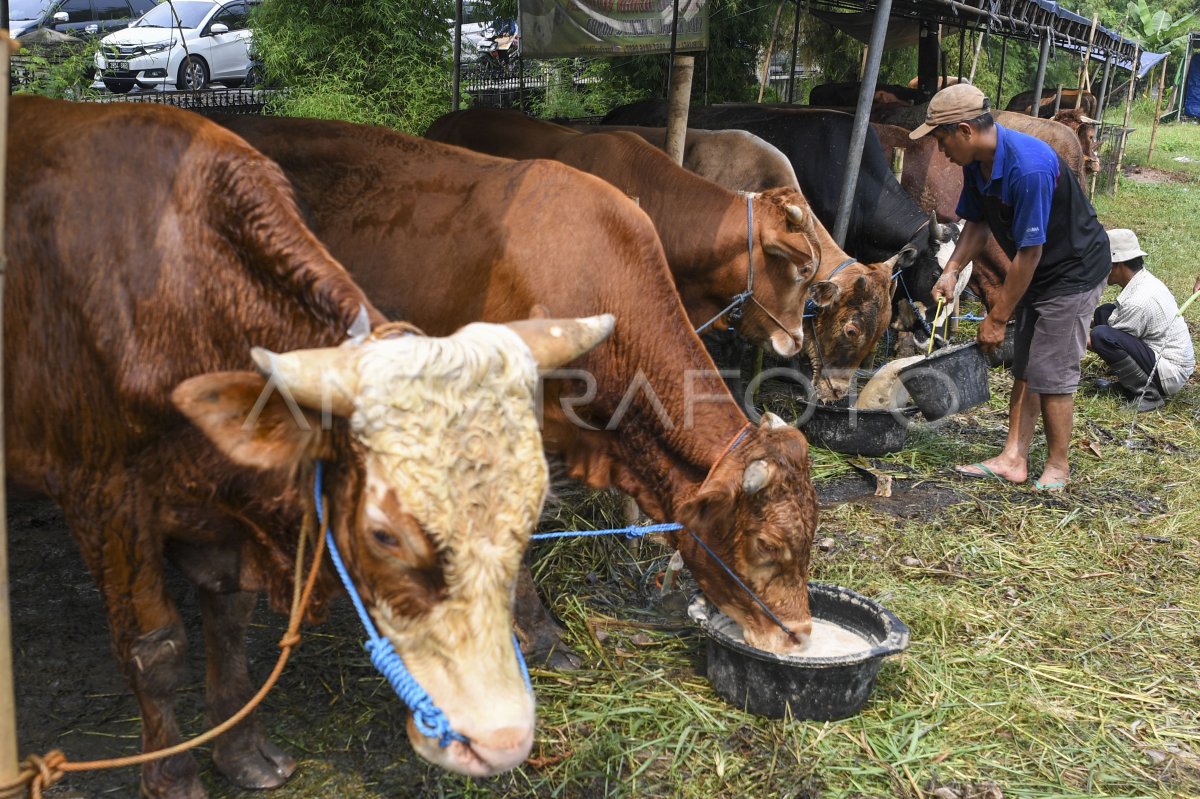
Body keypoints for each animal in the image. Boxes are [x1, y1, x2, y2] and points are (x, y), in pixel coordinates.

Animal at [4, 96, 614, 791]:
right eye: (384, 535)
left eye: (531, 517)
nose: (503, 739)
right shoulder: (103, 495)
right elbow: (153, 648)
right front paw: (175, 779)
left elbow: (228, 618)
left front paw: (242, 752)